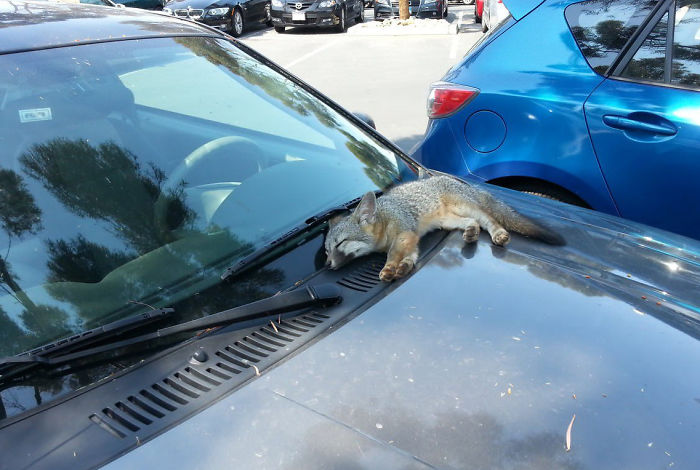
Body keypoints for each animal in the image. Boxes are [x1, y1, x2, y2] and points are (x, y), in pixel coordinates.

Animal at [326, 173, 564, 280]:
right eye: (327, 250)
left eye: (341, 243)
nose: (327, 265)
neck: (384, 217)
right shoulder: (411, 237)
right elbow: (411, 255)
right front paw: (404, 265)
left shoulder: (404, 232)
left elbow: (393, 253)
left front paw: (390, 267)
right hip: (447, 220)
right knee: (473, 223)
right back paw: (471, 233)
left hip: (465, 206)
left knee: (488, 219)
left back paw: (498, 233)